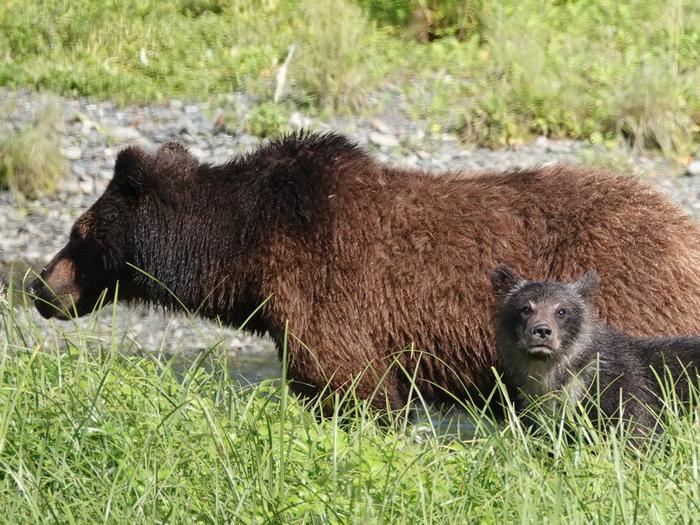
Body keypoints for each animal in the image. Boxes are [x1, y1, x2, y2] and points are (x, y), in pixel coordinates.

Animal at [28, 130, 700, 410]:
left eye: (77, 233)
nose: (39, 286)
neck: (247, 249)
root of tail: (681, 225)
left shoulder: (330, 292)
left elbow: (350, 386)